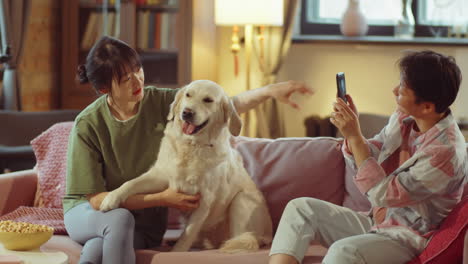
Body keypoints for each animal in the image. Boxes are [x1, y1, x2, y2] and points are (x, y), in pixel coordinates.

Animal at [100, 80, 272, 252]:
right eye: (188, 95)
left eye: (208, 100)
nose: (187, 112)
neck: (191, 145)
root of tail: (268, 235)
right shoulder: (160, 176)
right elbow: (130, 183)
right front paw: (110, 198)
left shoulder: (204, 201)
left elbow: (187, 234)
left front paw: (176, 251)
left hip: (241, 201)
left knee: (242, 238)